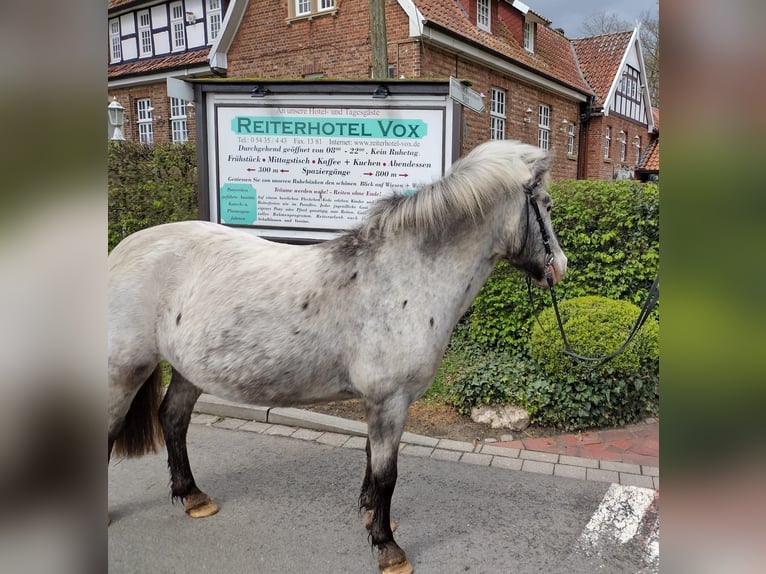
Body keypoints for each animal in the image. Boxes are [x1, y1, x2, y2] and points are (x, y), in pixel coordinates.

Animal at [108, 141, 568, 574]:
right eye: (545, 206)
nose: (559, 267)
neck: (404, 277)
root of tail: (121, 251)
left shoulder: (378, 403)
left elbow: (370, 463)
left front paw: (371, 517)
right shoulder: (390, 401)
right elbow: (386, 474)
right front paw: (388, 548)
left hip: (189, 369)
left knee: (173, 419)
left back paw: (193, 496)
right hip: (124, 370)